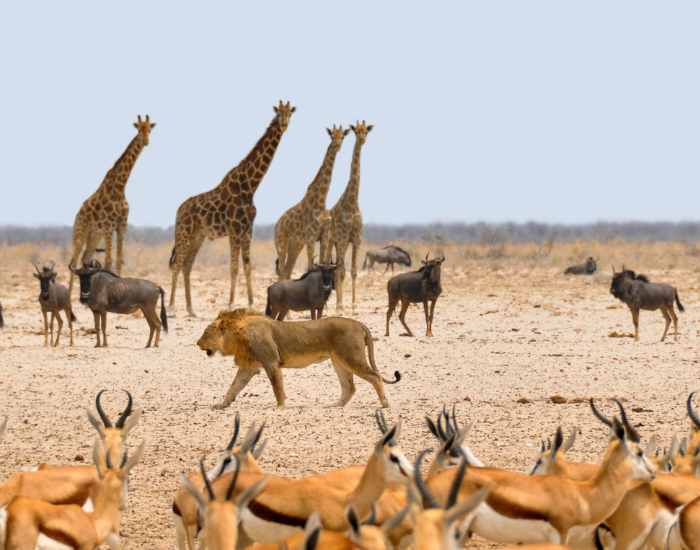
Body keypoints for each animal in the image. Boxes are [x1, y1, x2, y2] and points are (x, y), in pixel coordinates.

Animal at [68, 115, 155, 296]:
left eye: (150, 129)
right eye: (139, 129)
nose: (145, 141)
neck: (120, 188)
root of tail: (77, 215)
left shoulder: (122, 224)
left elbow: (119, 260)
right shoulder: (109, 226)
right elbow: (109, 260)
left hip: (94, 235)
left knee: (85, 259)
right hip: (80, 232)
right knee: (73, 261)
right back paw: (69, 295)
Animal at [168, 101, 295, 317]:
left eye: (290, 114)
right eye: (278, 114)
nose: (285, 124)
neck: (250, 186)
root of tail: (178, 211)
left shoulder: (247, 230)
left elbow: (248, 266)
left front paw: (251, 305)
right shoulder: (235, 230)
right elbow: (234, 267)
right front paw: (231, 304)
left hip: (198, 236)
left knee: (187, 265)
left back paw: (191, 309)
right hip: (184, 233)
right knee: (177, 264)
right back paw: (171, 309)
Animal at [197, 309, 401, 409]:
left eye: (205, 333)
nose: (197, 343)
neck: (236, 334)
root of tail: (359, 323)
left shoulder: (271, 362)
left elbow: (277, 387)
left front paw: (279, 407)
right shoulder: (249, 367)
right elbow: (233, 387)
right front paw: (222, 404)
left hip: (351, 357)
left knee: (375, 376)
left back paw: (384, 404)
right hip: (339, 361)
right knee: (349, 386)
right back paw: (336, 405)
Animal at [274, 125, 349, 279]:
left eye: (343, 136)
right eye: (332, 136)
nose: (338, 146)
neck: (321, 201)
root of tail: (276, 226)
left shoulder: (324, 236)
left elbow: (322, 261)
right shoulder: (310, 237)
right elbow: (311, 265)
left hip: (295, 244)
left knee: (288, 270)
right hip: (281, 242)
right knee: (282, 272)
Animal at [324, 121, 373, 314]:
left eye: (366, 131)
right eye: (356, 131)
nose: (362, 139)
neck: (352, 202)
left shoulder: (356, 239)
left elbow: (353, 271)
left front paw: (354, 306)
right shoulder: (344, 238)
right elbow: (342, 271)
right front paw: (340, 306)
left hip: (339, 243)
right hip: (332, 241)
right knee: (330, 265)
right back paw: (331, 306)